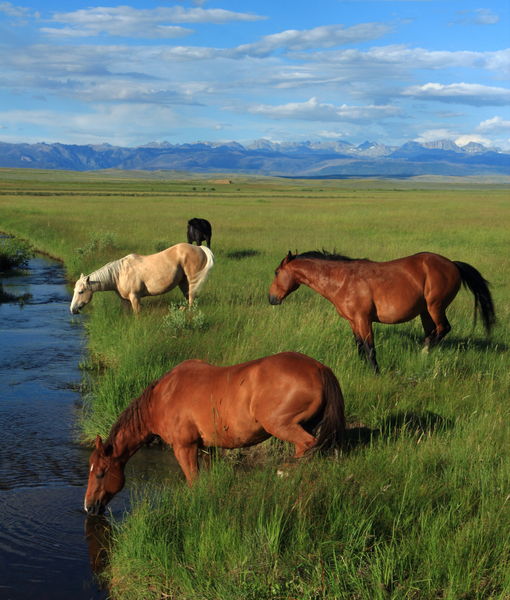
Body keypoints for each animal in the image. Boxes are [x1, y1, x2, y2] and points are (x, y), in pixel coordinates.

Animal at [70, 241, 214, 314]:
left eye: (81, 292)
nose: (73, 309)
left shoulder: (135, 298)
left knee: (192, 298)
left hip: (192, 280)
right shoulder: (125, 301)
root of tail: (199, 248)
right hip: (183, 282)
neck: (118, 274)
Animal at [84, 352, 346, 516]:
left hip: (284, 427)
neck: (163, 397)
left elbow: (193, 481)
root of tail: (318, 368)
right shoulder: (206, 448)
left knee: (306, 447)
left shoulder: (185, 447)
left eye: (100, 473)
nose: (88, 507)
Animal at [268, 247, 496, 370]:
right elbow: (359, 346)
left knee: (443, 329)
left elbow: (370, 348)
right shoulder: (353, 322)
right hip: (425, 312)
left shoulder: (364, 319)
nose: (271, 298)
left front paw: (376, 372)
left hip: (435, 307)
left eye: (277, 272)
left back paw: (423, 352)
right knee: (433, 331)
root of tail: (453, 264)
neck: (343, 280)